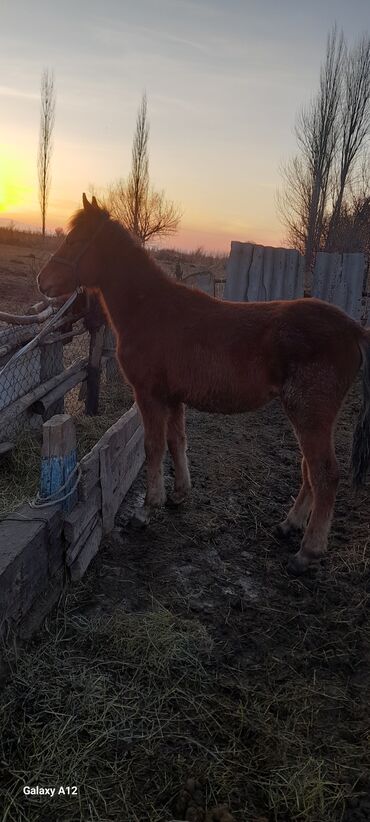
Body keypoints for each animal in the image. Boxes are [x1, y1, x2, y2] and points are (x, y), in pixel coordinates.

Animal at [37, 196, 370, 576]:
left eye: (75, 240)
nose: (42, 282)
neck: (151, 310)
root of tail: (353, 329)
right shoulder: (172, 397)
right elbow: (177, 441)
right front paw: (179, 494)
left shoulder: (149, 395)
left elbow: (154, 447)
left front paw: (147, 509)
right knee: (308, 470)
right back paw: (289, 525)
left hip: (309, 414)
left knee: (324, 474)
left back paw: (308, 551)